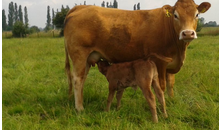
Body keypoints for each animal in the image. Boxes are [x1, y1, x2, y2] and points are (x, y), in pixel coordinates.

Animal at [63, 0, 210, 111]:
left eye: (197, 14)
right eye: (175, 15)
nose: (187, 33)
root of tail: (80, 7)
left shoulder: (171, 64)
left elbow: (170, 84)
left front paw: (171, 101)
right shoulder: (160, 63)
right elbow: (161, 87)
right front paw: (163, 106)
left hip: (87, 58)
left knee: (82, 78)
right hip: (79, 54)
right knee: (77, 79)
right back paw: (80, 108)